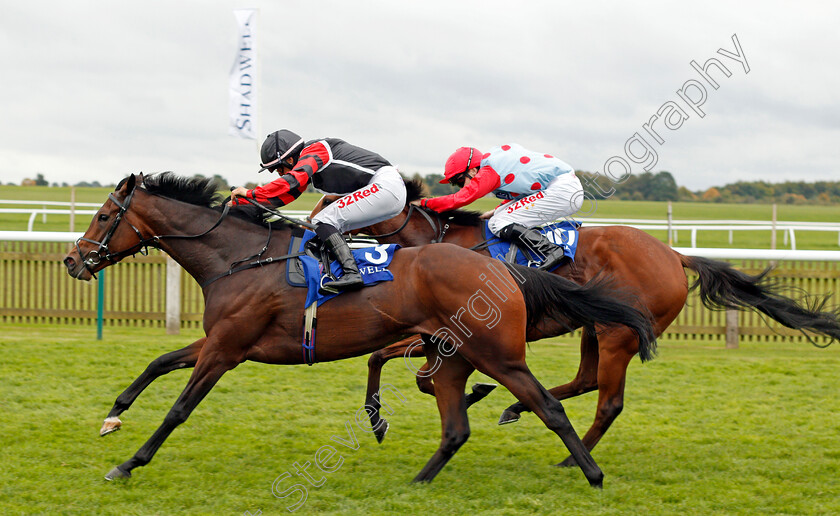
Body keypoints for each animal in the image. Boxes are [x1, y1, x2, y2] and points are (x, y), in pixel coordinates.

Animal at [62, 172, 660, 484]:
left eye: (103, 216)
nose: (72, 261)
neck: (238, 257)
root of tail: (501, 268)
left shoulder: (226, 349)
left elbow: (179, 408)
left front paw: (128, 464)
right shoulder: (220, 340)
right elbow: (157, 362)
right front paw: (113, 417)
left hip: (500, 354)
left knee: (550, 406)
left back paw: (590, 472)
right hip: (454, 355)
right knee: (457, 423)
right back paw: (419, 480)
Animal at [312, 179, 840, 466]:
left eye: (333, 199)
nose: (311, 230)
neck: (438, 246)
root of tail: (674, 254)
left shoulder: (459, 332)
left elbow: (414, 372)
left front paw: (468, 392)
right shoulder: (433, 332)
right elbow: (382, 358)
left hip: (619, 334)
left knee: (609, 402)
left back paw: (571, 456)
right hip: (595, 327)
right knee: (586, 381)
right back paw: (518, 410)